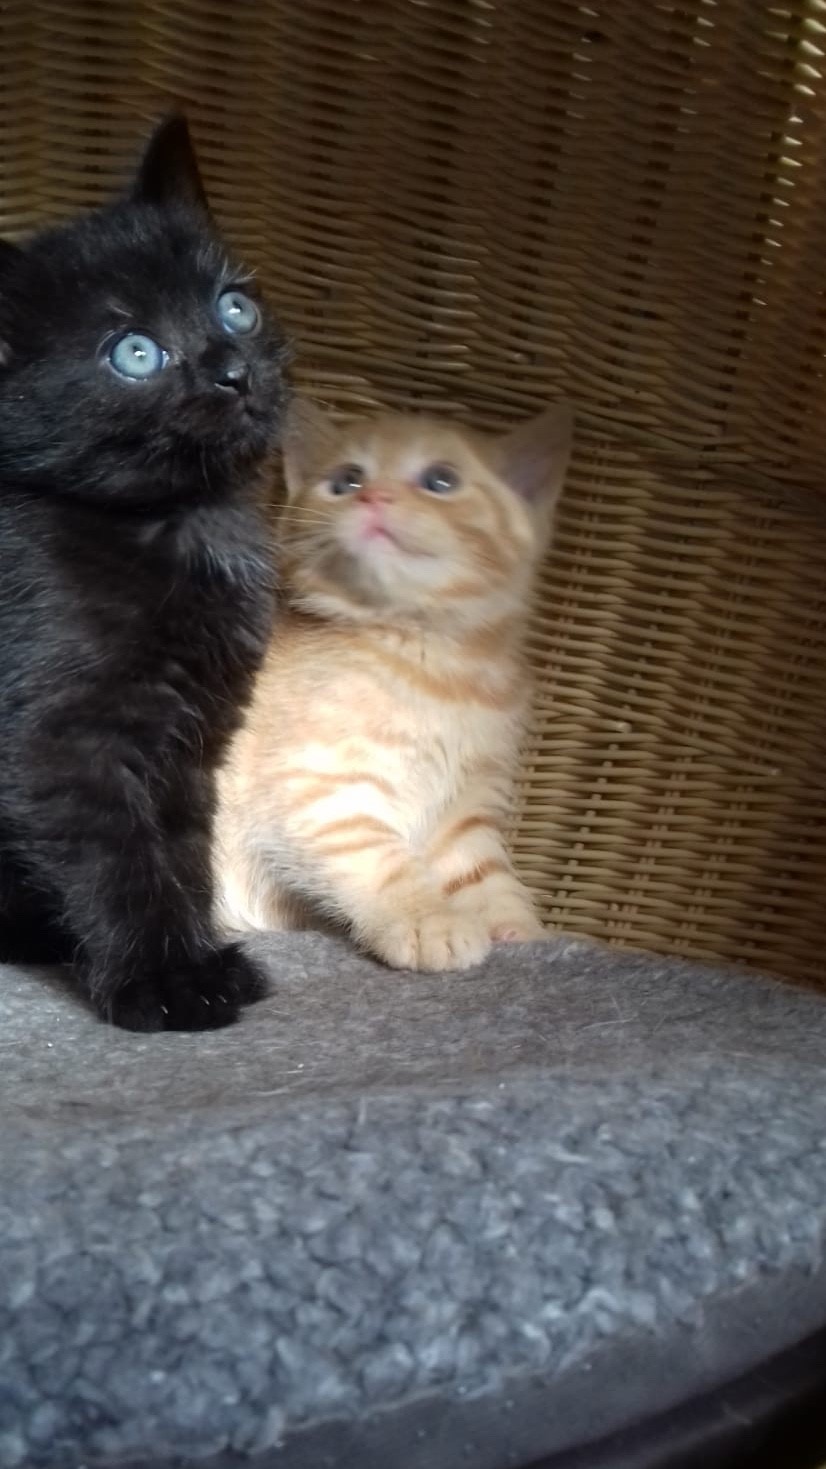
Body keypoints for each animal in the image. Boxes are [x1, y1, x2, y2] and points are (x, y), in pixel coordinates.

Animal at [0, 114, 289, 1030]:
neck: (177, 523)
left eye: (234, 305)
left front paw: (195, 950)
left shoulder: (191, 732)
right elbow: (121, 854)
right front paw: (167, 979)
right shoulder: (63, 735)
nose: (233, 370)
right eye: (134, 352)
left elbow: (181, 845)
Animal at [214, 396, 572, 971]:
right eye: (346, 480)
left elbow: (482, 870)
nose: (374, 496)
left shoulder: (466, 803)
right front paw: (429, 920)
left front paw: (518, 928)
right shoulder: (321, 789)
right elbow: (380, 859)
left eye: (441, 480)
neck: (442, 669)